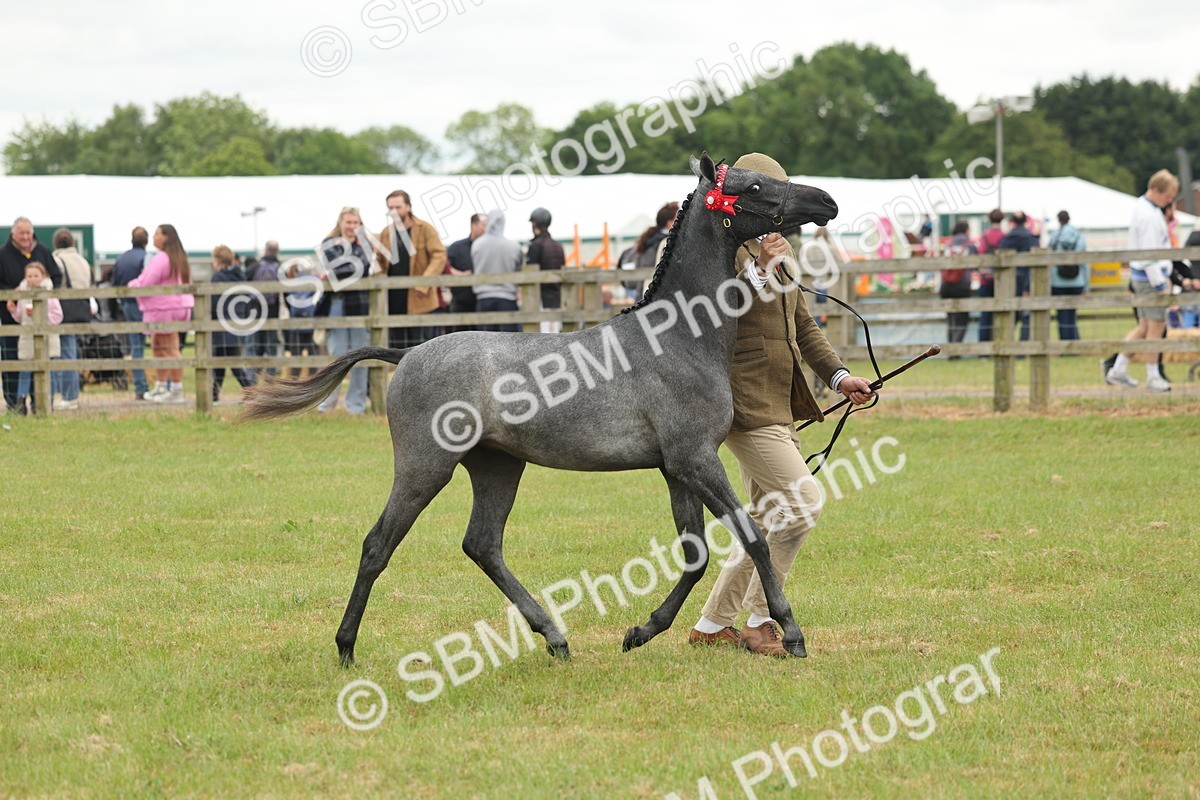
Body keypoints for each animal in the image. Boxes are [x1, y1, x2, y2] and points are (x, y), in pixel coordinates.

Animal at [241, 152, 838, 665]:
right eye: (752, 187)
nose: (827, 201)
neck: (676, 338)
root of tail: (406, 353)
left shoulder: (676, 468)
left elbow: (694, 556)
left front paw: (639, 632)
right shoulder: (696, 460)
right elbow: (753, 537)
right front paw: (792, 634)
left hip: (497, 466)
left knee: (482, 545)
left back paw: (554, 637)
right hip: (424, 466)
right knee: (377, 545)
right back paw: (346, 648)